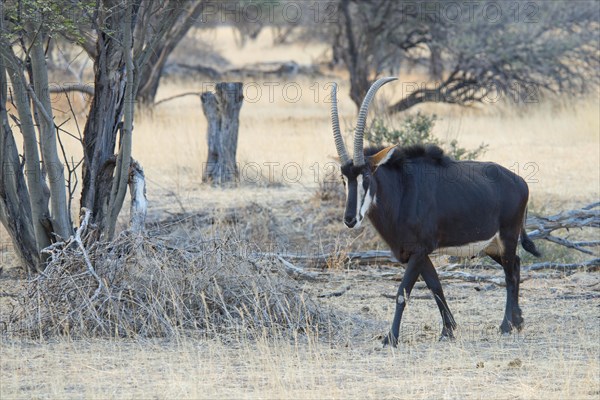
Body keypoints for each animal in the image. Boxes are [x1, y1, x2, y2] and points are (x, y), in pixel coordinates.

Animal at [330, 77, 540, 346]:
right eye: (344, 179)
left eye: (366, 176)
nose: (350, 219)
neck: (402, 191)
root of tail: (520, 181)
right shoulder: (416, 253)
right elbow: (435, 286)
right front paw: (448, 329)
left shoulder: (419, 250)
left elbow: (403, 292)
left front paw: (391, 338)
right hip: (493, 245)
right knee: (516, 264)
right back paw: (518, 322)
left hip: (508, 236)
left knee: (510, 274)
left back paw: (505, 325)